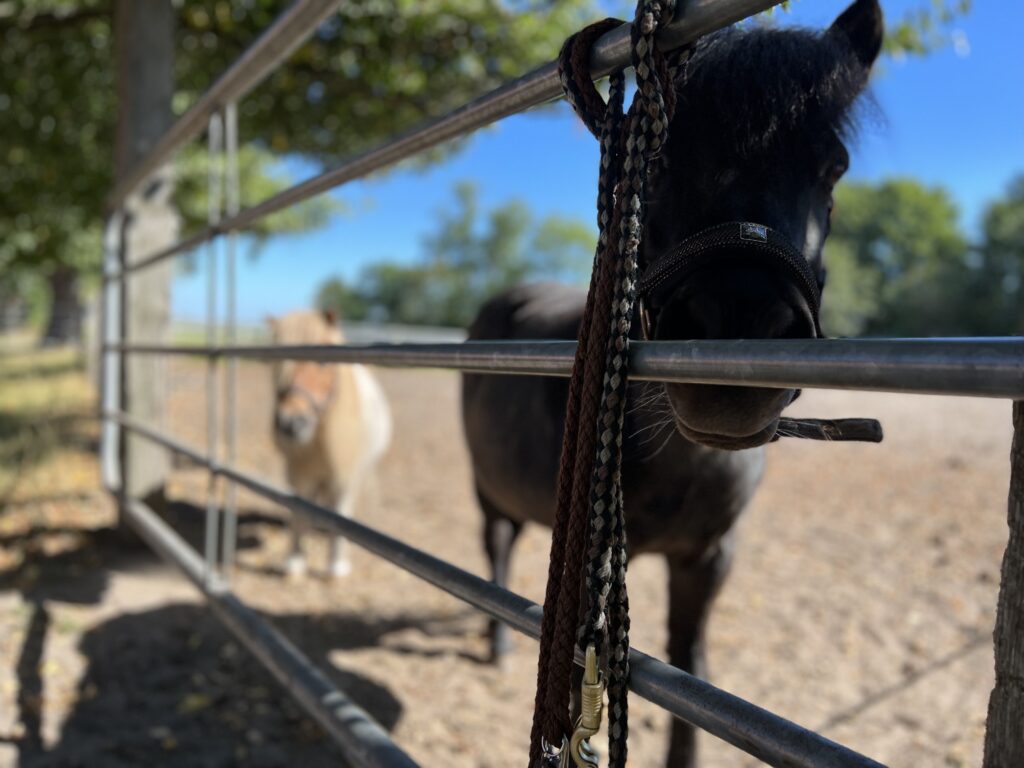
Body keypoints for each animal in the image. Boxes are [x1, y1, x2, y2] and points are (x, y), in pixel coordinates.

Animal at [266, 309, 389, 581]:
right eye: (277, 363)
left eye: (324, 362)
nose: (290, 422)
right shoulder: (301, 474)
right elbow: (300, 512)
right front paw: (295, 562)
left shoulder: (345, 476)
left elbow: (340, 515)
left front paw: (336, 567)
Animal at [462, 3, 880, 765]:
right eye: (655, 159)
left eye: (833, 168)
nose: (738, 326)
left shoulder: (707, 559)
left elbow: (692, 671)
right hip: (486, 488)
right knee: (497, 544)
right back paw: (498, 643)